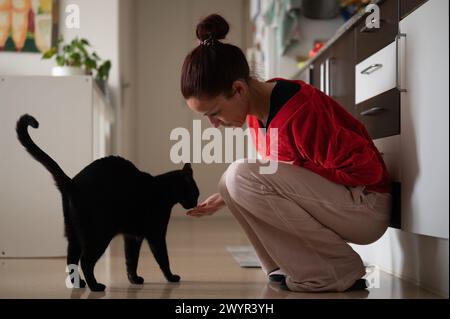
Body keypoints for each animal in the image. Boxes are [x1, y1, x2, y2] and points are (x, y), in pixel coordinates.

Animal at [16, 115, 199, 292]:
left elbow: (131, 260)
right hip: (99, 235)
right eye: (195, 193)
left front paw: (134, 279)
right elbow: (163, 258)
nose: (195, 203)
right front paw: (171, 277)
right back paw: (95, 286)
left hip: (73, 233)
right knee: (86, 260)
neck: (163, 190)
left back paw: (79, 284)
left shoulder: (132, 236)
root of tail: (72, 183)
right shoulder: (156, 234)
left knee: (71, 259)